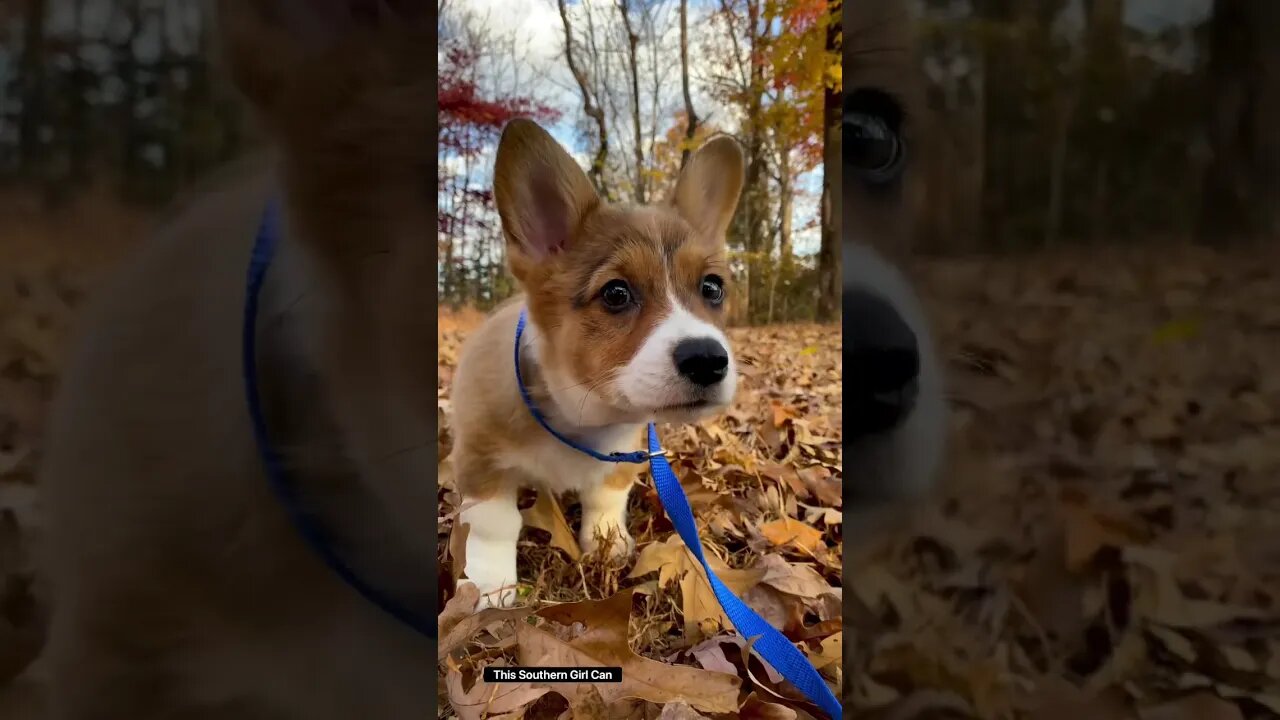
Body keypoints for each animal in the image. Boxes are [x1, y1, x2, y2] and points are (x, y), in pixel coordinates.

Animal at [455, 120, 747, 607]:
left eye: (712, 287)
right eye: (616, 293)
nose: (708, 360)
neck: (581, 417)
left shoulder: (626, 451)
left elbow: (607, 497)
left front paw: (607, 543)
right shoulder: (480, 460)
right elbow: (494, 524)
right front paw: (489, 585)